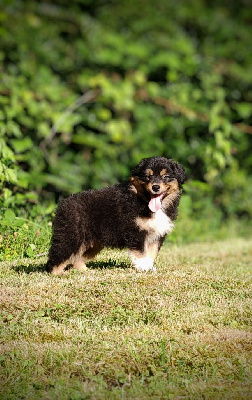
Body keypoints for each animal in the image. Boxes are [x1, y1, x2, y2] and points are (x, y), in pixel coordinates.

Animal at [46, 158, 185, 274]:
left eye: (166, 176)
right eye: (147, 176)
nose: (155, 187)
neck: (142, 200)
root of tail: (62, 204)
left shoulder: (156, 235)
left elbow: (151, 253)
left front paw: (149, 268)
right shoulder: (136, 232)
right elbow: (141, 253)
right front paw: (144, 267)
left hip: (92, 244)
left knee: (77, 258)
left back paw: (86, 271)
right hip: (71, 236)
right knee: (57, 256)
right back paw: (58, 273)